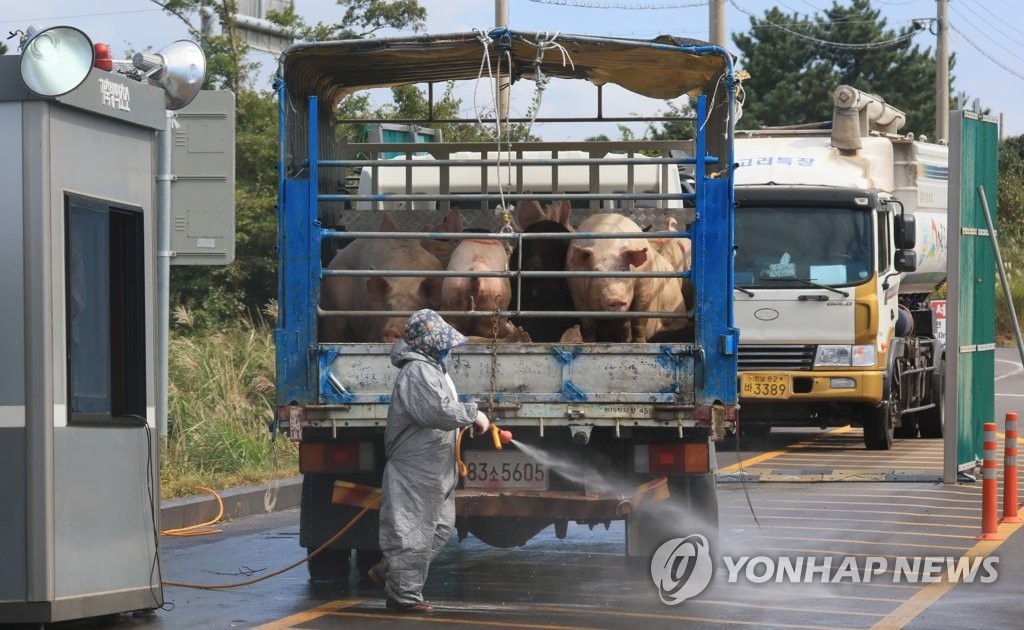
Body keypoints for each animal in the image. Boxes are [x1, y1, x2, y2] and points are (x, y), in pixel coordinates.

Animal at [565, 213, 684, 342]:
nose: (616, 299)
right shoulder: (575, 291)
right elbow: (588, 325)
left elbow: (638, 321)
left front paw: (638, 343)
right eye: (595, 271)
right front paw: (589, 343)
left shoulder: (645, 284)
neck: (607, 245)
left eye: (623, 270)